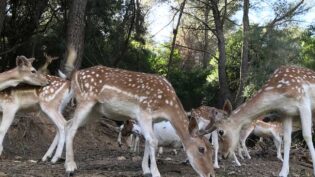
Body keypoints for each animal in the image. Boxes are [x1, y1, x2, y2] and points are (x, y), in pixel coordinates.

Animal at [64, 48, 216, 177]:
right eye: (201, 149)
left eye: (211, 148)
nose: (210, 174)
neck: (166, 106)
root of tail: (75, 75)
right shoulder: (144, 112)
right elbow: (153, 141)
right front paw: (156, 173)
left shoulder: (153, 119)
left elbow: (148, 142)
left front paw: (146, 170)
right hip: (85, 100)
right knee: (72, 128)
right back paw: (70, 167)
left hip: (95, 111)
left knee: (68, 123)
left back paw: (62, 160)